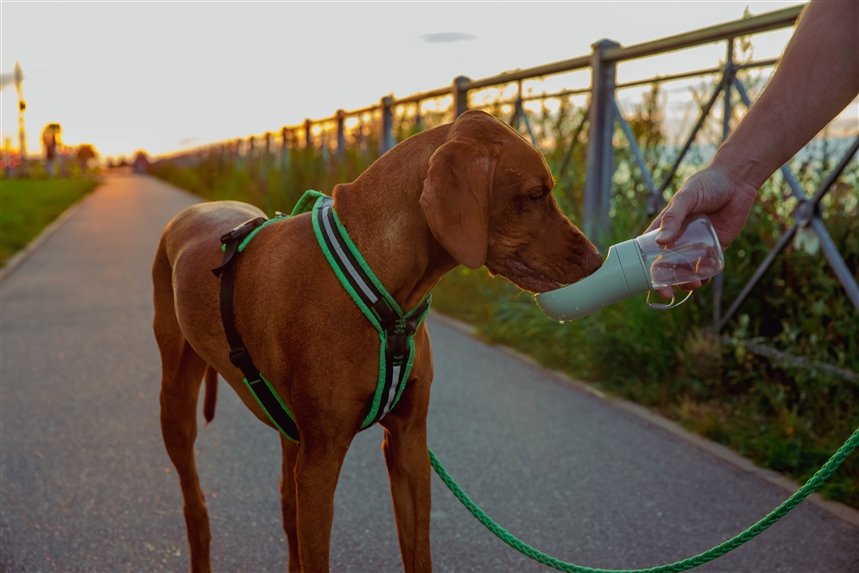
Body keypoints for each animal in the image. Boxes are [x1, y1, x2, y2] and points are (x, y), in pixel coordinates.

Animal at [151, 108, 600, 572]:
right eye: (534, 194)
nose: (597, 258)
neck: (377, 277)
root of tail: (196, 209)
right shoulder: (321, 460)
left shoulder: (408, 443)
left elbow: (418, 552)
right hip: (177, 403)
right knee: (195, 504)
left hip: (289, 433)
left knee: (286, 509)